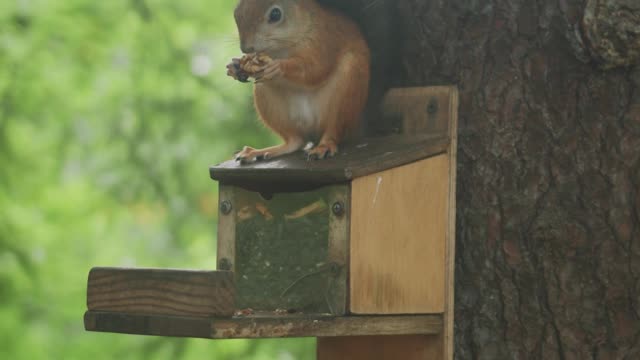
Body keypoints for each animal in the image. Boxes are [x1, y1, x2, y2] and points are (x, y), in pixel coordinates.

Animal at [229, 0, 370, 162]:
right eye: (236, 12)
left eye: (275, 14)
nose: (246, 48)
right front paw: (236, 66)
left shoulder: (324, 39)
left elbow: (314, 69)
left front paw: (278, 66)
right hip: (268, 100)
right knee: (295, 141)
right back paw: (260, 151)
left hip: (348, 91)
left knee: (333, 130)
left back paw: (324, 145)